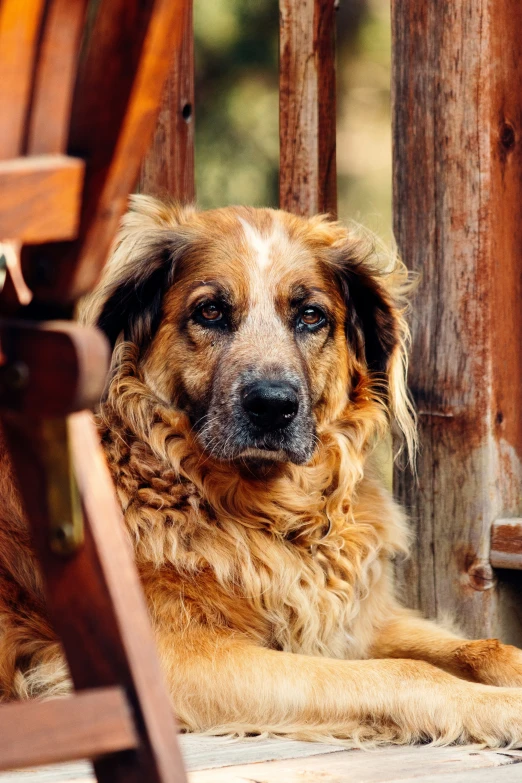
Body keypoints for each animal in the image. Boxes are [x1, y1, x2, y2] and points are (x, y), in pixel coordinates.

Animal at [1, 196, 520, 748]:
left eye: (311, 316)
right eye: (209, 311)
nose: (272, 406)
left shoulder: (352, 622)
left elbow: (486, 647)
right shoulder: (176, 658)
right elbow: (406, 672)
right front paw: (505, 708)